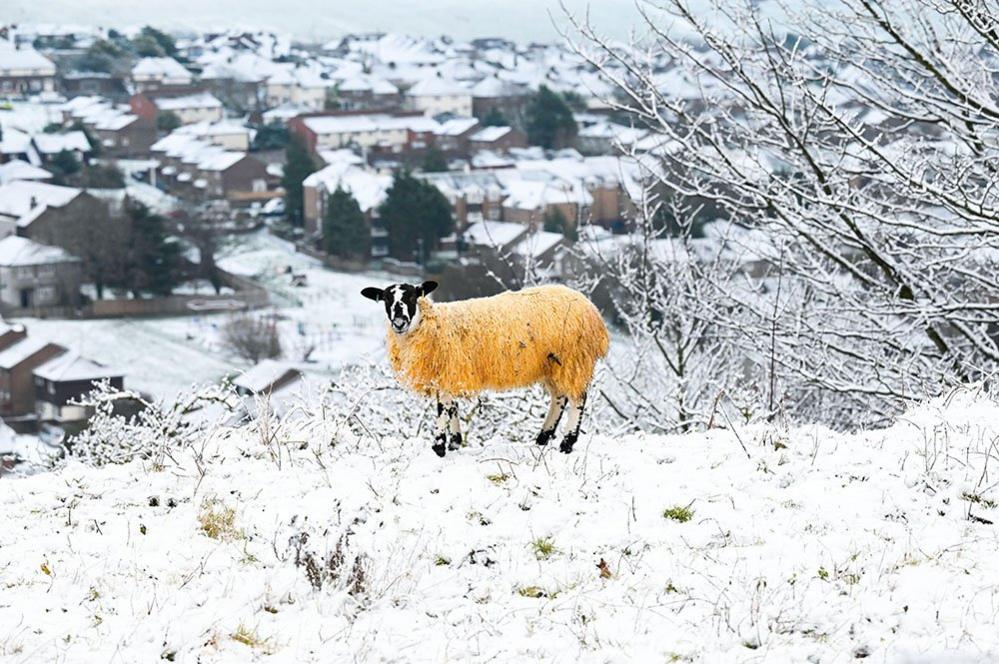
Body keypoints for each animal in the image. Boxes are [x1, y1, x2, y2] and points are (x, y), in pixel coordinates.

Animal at [360, 280, 608, 456]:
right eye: (386, 299)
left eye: (413, 296)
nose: (399, 320)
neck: (432, 325)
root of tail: (592, 309)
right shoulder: (451, 374)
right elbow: (452, 408)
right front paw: (455, 442)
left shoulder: (448, 371)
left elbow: (443, 408)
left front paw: (439, 446)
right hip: (554, 364)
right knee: (559, 397)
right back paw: (542, 438)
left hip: (574, 358)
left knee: (577, 398)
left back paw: (567, 442)